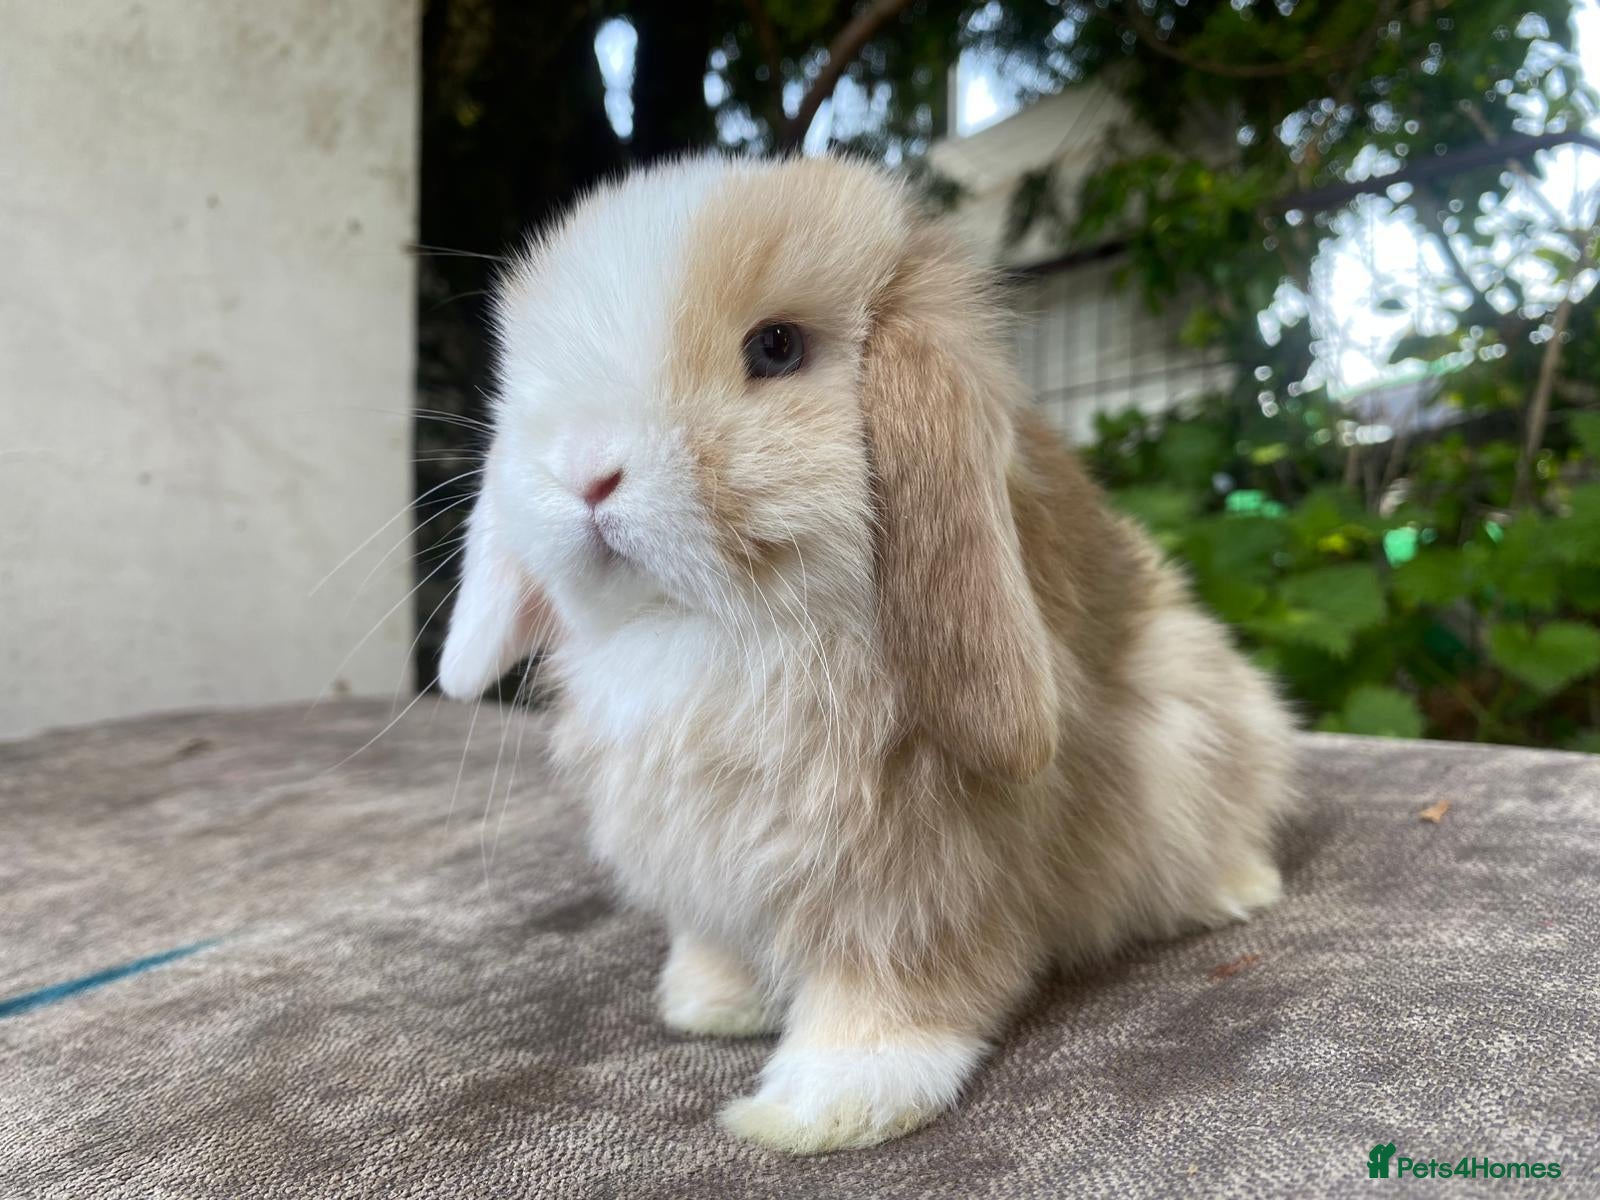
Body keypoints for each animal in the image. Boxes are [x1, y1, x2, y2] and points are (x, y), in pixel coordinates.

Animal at [437, 154, 1295, 1155]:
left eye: (775, 348)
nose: (585, 470)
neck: (703, 628)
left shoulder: (919, 878)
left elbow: (891, 987)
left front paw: (825, 1108)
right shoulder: (702, 859)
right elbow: (715, 939)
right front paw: (709, 1005)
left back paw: (1240, 890)